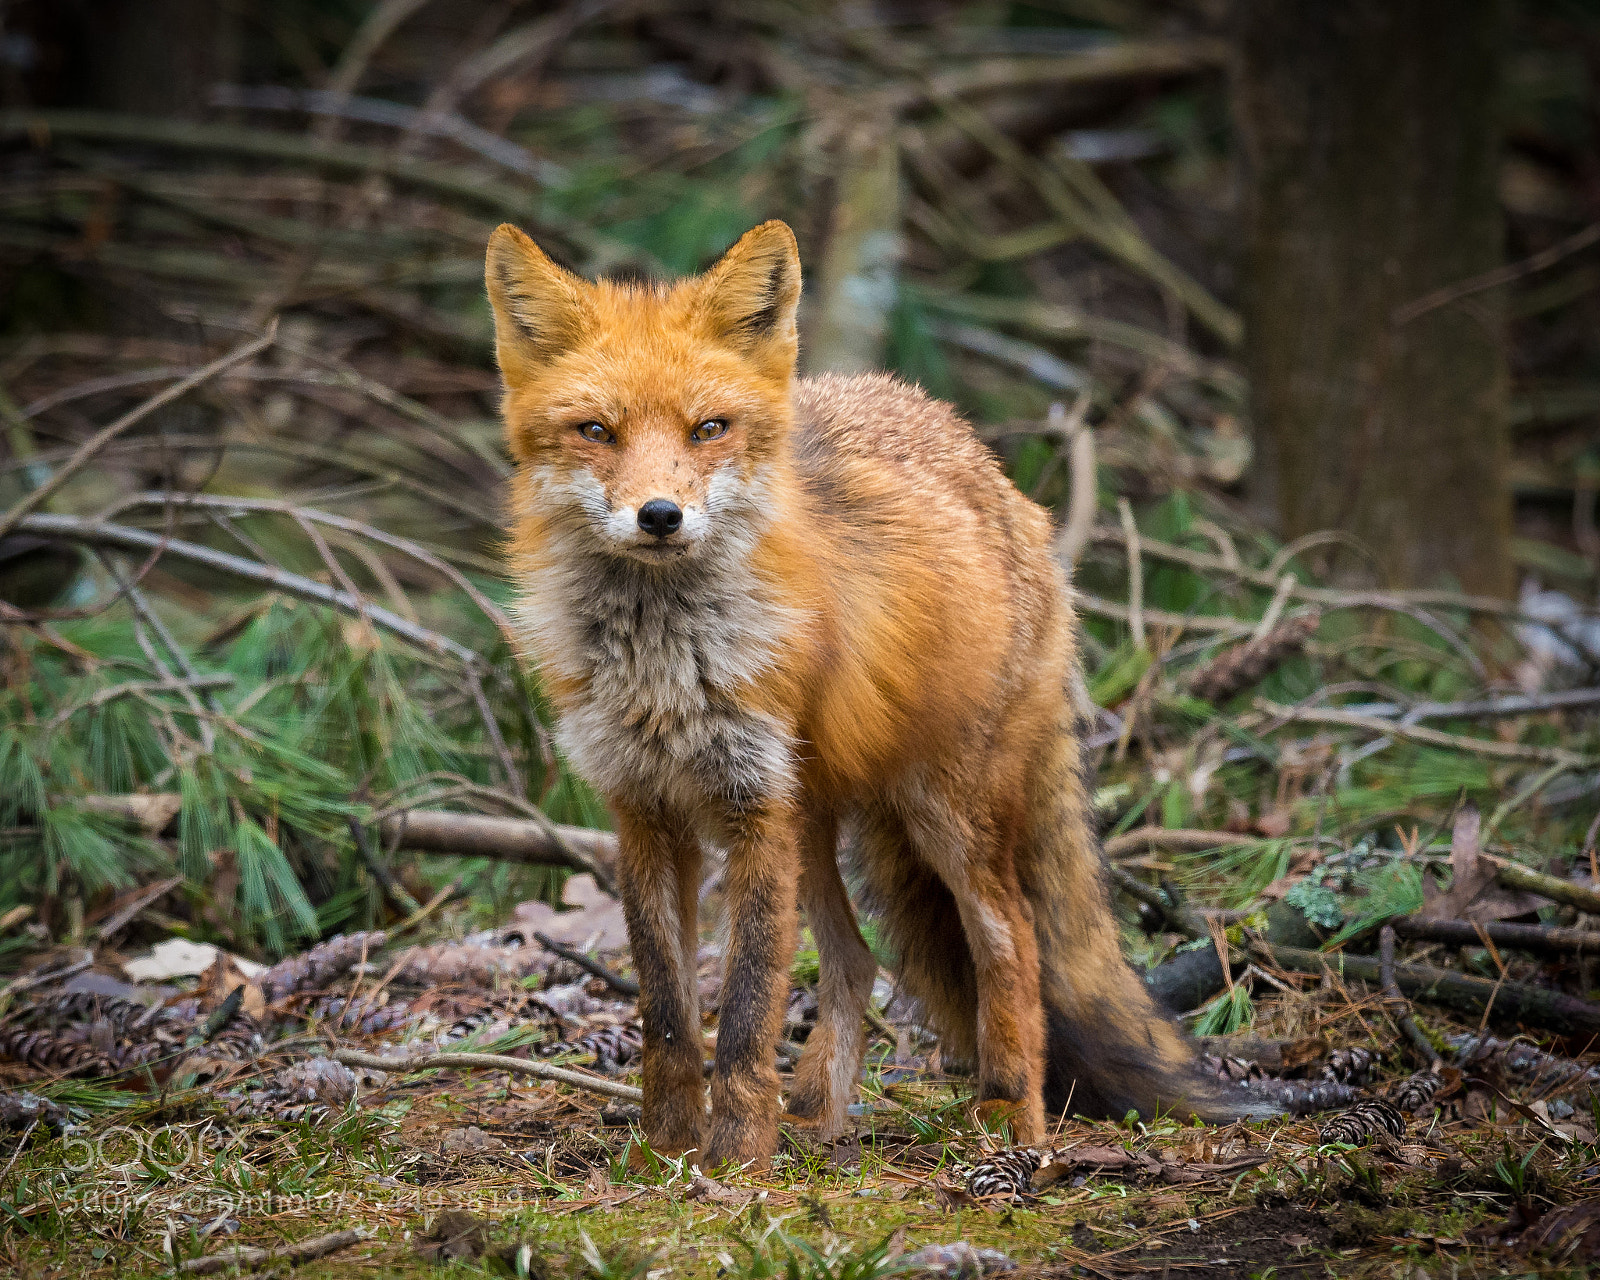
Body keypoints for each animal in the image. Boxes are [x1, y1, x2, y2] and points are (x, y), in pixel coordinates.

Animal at [485, 219, 1271, 1169]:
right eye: (596, 430)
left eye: (709, 428)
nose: (660, 515)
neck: (667, 665)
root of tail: (988, 464)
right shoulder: (645, 812)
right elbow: (668, 1015)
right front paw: (666, 1154)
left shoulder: (754, 810)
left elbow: (745, 1011)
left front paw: (735, 1162)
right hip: (821, 816)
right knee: (858, 961)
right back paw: (820, 1116)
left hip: (940, 810)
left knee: (1011, 941)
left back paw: (1011, 1115)